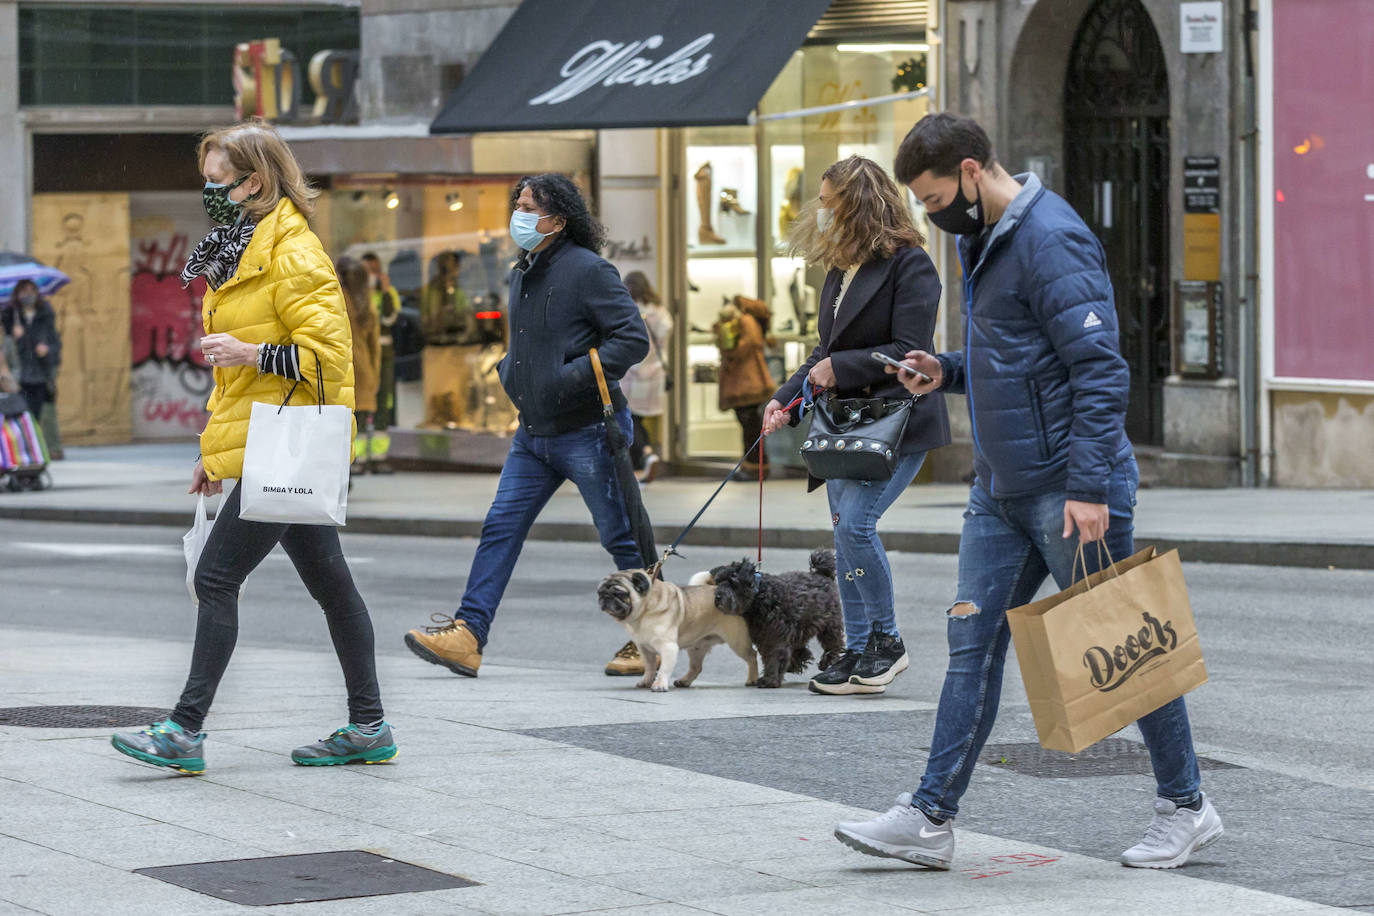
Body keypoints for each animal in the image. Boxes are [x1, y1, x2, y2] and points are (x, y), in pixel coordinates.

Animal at [596, 568, 758, 692]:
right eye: (599, 592)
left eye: (619, 593)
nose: (604, 597)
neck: (643, 613)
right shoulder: (644, 649)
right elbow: (650, 667)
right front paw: (646, 681)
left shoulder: (668, 648)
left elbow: (663, 670)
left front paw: (660, 685)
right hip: (697, 647)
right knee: (696, 667)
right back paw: (684, 681)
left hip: (738, 642)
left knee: (752, 656)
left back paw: (752, 679)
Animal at [714, 552, 840, 686]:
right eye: (718, 582)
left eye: (733, 583)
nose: (717, 597)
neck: (760, 596)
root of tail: (823, 574)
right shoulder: (763, 638)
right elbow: (769, 657)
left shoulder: (775, 637)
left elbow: (775, 657)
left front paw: (770, 679)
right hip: (801, 629)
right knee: (802, 650)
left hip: (830, 626)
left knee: (833, 644)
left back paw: (828, 661)